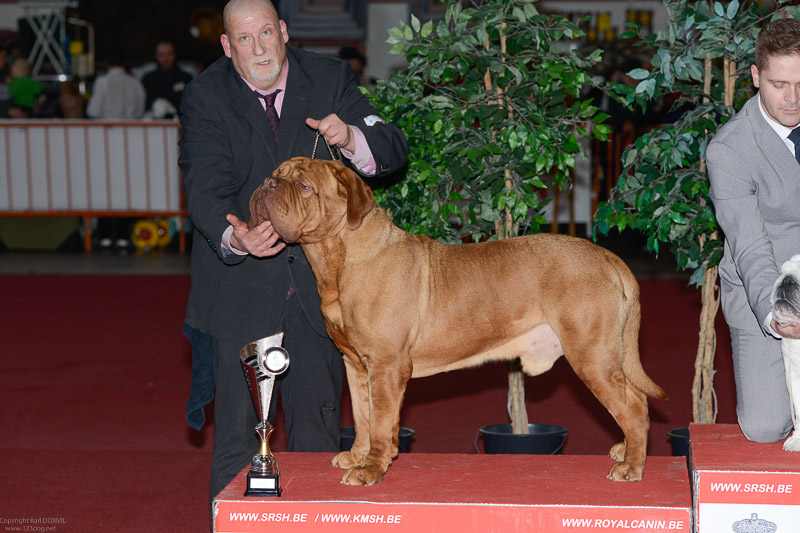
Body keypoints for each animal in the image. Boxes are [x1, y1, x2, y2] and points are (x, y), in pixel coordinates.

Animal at [253, 156, 664, 484]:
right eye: (275, 174)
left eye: (304, 186)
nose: (267, 183)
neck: (339, 260)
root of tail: (609, 258)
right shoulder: (355, 365)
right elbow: (362, 416)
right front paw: (357, 456)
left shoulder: (386, 366)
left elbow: (382, 422)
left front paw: (370, 469)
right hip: (608, 354)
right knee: (634, 400)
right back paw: (625, 450)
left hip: (592, 355)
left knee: (633, 407)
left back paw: (632, 466)